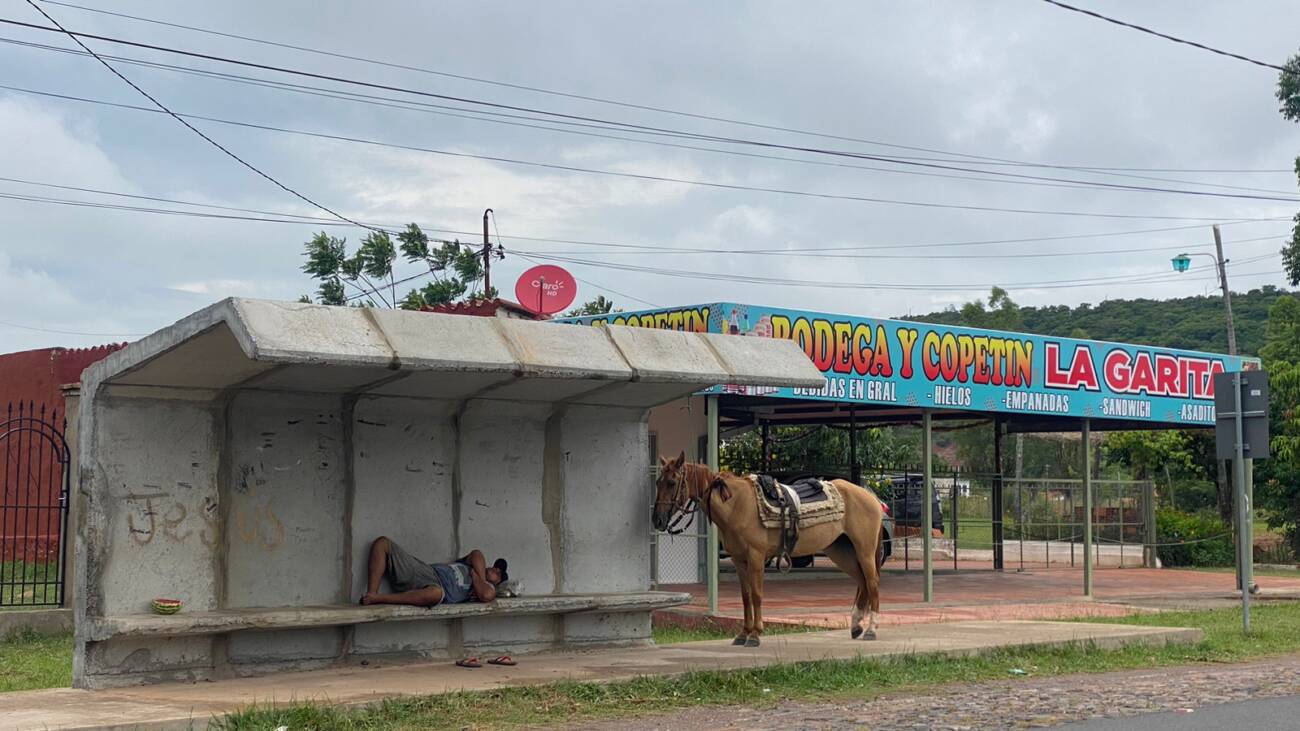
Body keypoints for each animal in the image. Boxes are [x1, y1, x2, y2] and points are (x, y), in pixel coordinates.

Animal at [650, 450, 883, 642]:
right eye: (658, 482)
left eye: (672, 482)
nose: (657, 520)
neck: (736, 505)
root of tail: (871, 497)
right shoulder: (739, 560)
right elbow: (745, 596)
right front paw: (743, 634)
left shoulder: (756, 557)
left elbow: (757, 594)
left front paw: (755, 634)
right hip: (840, 551)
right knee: (862, 582)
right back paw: (856, 627)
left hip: (864, 550)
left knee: (872, 583)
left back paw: (871, 630)